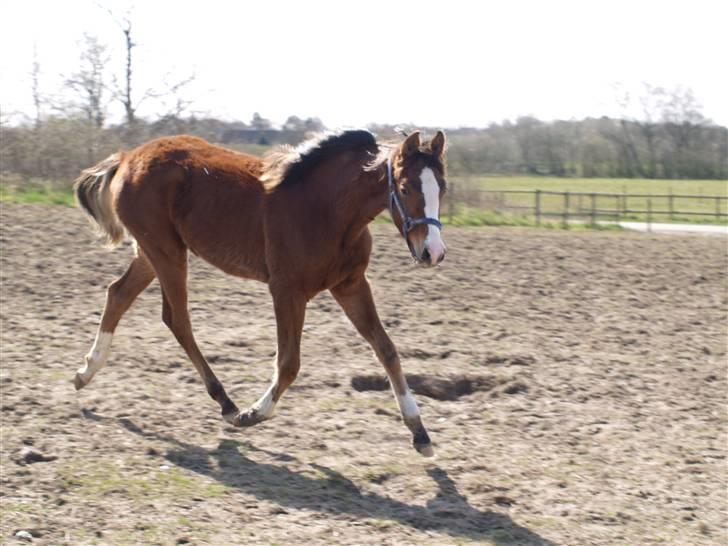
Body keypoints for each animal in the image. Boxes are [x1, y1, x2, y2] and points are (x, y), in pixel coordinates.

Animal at [75, 129, 450, 454]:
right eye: (405, 188)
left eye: (442, 189)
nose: (432, 252)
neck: (326, 210)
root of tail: (127, 157)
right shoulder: (286, 290)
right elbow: (289, 363)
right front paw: (253, 413)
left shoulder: (351, 284)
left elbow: (387, 349)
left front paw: (420, 432)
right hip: (165, 251)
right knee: (176, 318)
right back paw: (226, 402)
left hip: (153, 252)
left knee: (118, 294)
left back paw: (85, 372)